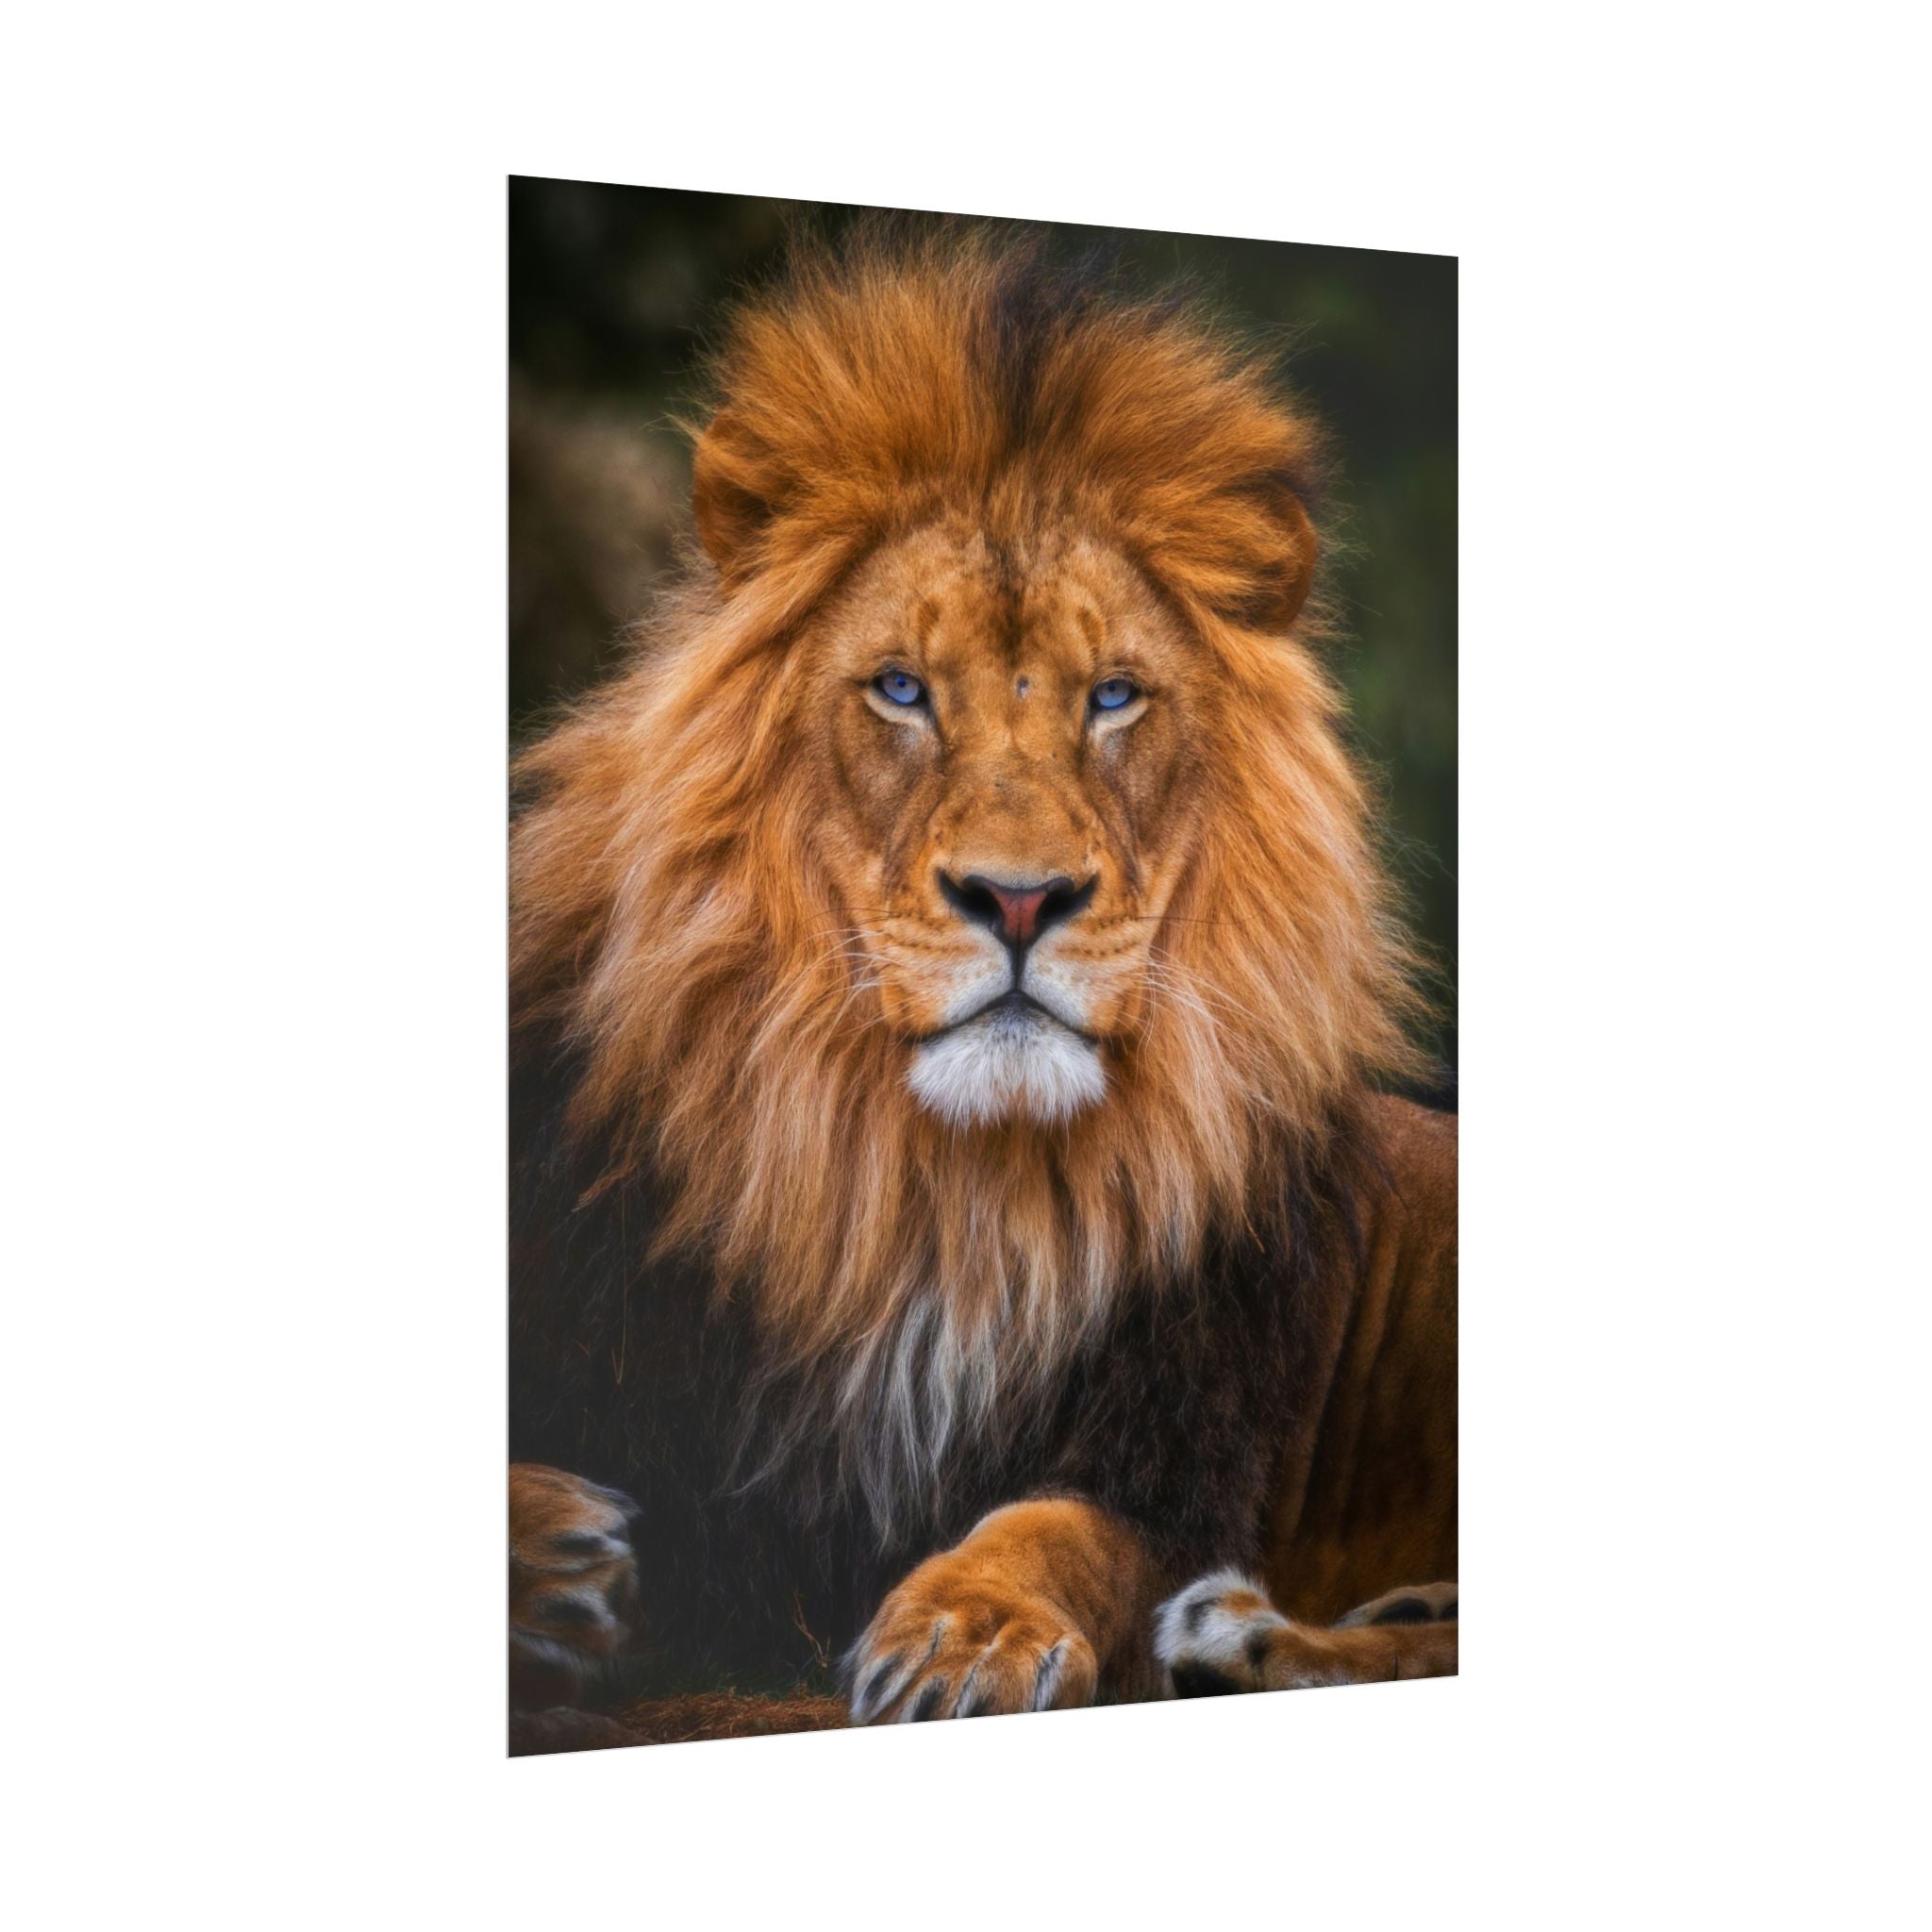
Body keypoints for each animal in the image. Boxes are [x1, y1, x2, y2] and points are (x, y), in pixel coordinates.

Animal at [508, 223, 1456, 1736]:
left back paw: (1243, 1634)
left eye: (1114, 696)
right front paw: (555, 1559)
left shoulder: (1181, 1461)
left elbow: (1060, 1528)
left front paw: (966, 1628)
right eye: (901, 688)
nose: (1019, 898)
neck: (939, 1195)